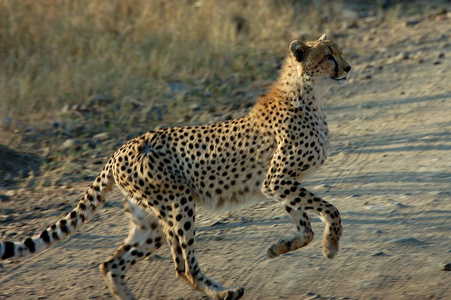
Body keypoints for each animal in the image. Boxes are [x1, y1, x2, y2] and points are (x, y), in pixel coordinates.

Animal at [0, 35, 354, 300]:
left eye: (340, 52)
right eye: (329, 56)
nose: (349, 68)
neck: (309, 95)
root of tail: (119, 149)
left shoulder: (280, 184)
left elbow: (305, 227)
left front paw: (280, 248)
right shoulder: (277, 180)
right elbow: (330, 210)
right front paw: (331, 246)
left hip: (150, 222)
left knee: (110, 264)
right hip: (178, 205)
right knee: (183, 267)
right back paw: (223, 292)